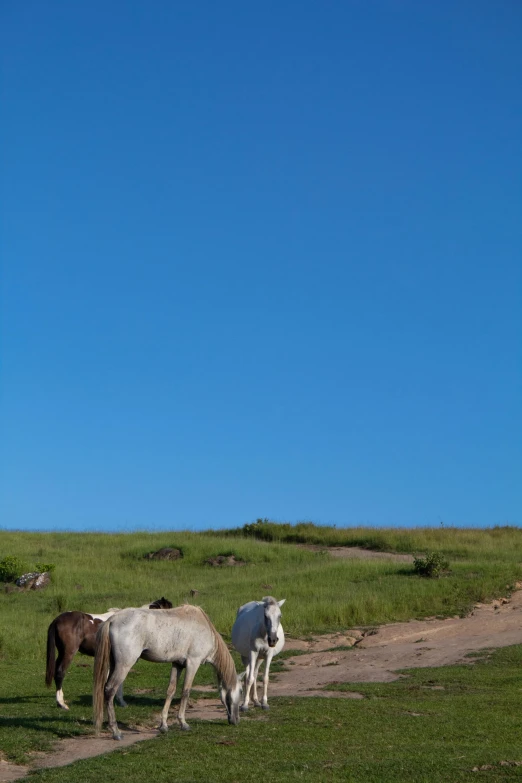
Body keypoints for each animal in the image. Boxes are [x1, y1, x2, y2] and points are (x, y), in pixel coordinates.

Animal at [93, 604, 240, 740]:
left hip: (114, 664)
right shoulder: (193, 663)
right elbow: (186, 691)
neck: (204, 627)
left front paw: (163, 725)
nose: (236, 720)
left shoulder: (177, 664)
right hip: (124, 665)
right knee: (110, 690)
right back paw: (116, 731)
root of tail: (112, 619)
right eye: (239, 693)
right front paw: (183, 723)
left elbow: (171, 691)